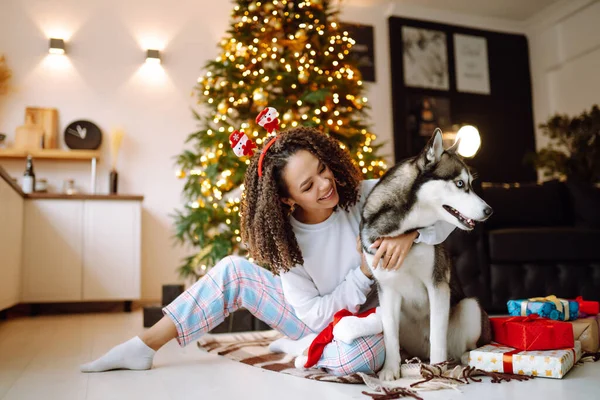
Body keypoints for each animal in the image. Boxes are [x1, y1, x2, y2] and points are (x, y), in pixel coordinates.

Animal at [360, 130, 492, 380]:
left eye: (470, 184)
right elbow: (390, 336)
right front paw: (390, 370)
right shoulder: (387, 290)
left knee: (463, 346)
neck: (402, 230)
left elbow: (437, 335)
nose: (489, 211)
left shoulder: (437, 285)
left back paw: (462, 361)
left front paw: (437, 370)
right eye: (460, 184)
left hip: (469, 306)